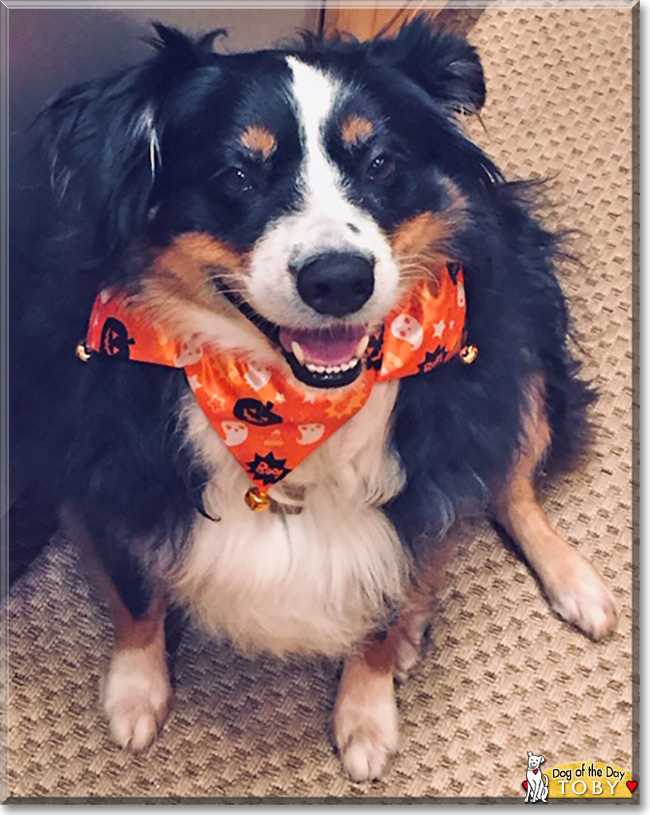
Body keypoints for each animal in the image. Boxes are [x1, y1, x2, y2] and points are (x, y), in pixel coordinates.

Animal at [12, 17, 616, 784]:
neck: (284, 411)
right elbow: (135, 593)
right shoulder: (109, 470)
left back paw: (571, 585)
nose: (339, 279)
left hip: (518, 345)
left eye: (380, 163)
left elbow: (390, 602)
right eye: (237, 176)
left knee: (509, 484)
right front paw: (136, 691)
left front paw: (367, 714)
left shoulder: (425, 478)